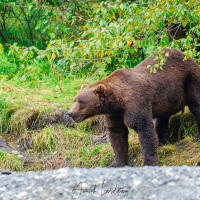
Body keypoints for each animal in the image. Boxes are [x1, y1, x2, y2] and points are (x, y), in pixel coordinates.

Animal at [68, 49, 200, 166]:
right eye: (75, 99)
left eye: (81, 101)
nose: (69, 113)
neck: (118, 101)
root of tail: (188, 56)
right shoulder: (115, 114)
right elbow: (117, 134)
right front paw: (117, 162)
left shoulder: (136, 103)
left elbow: (143, 128)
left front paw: (149, 162)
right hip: (167, 98)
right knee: (162, 119)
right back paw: (160, 141)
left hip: (190, 80)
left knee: (196, 106)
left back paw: (196, 137)